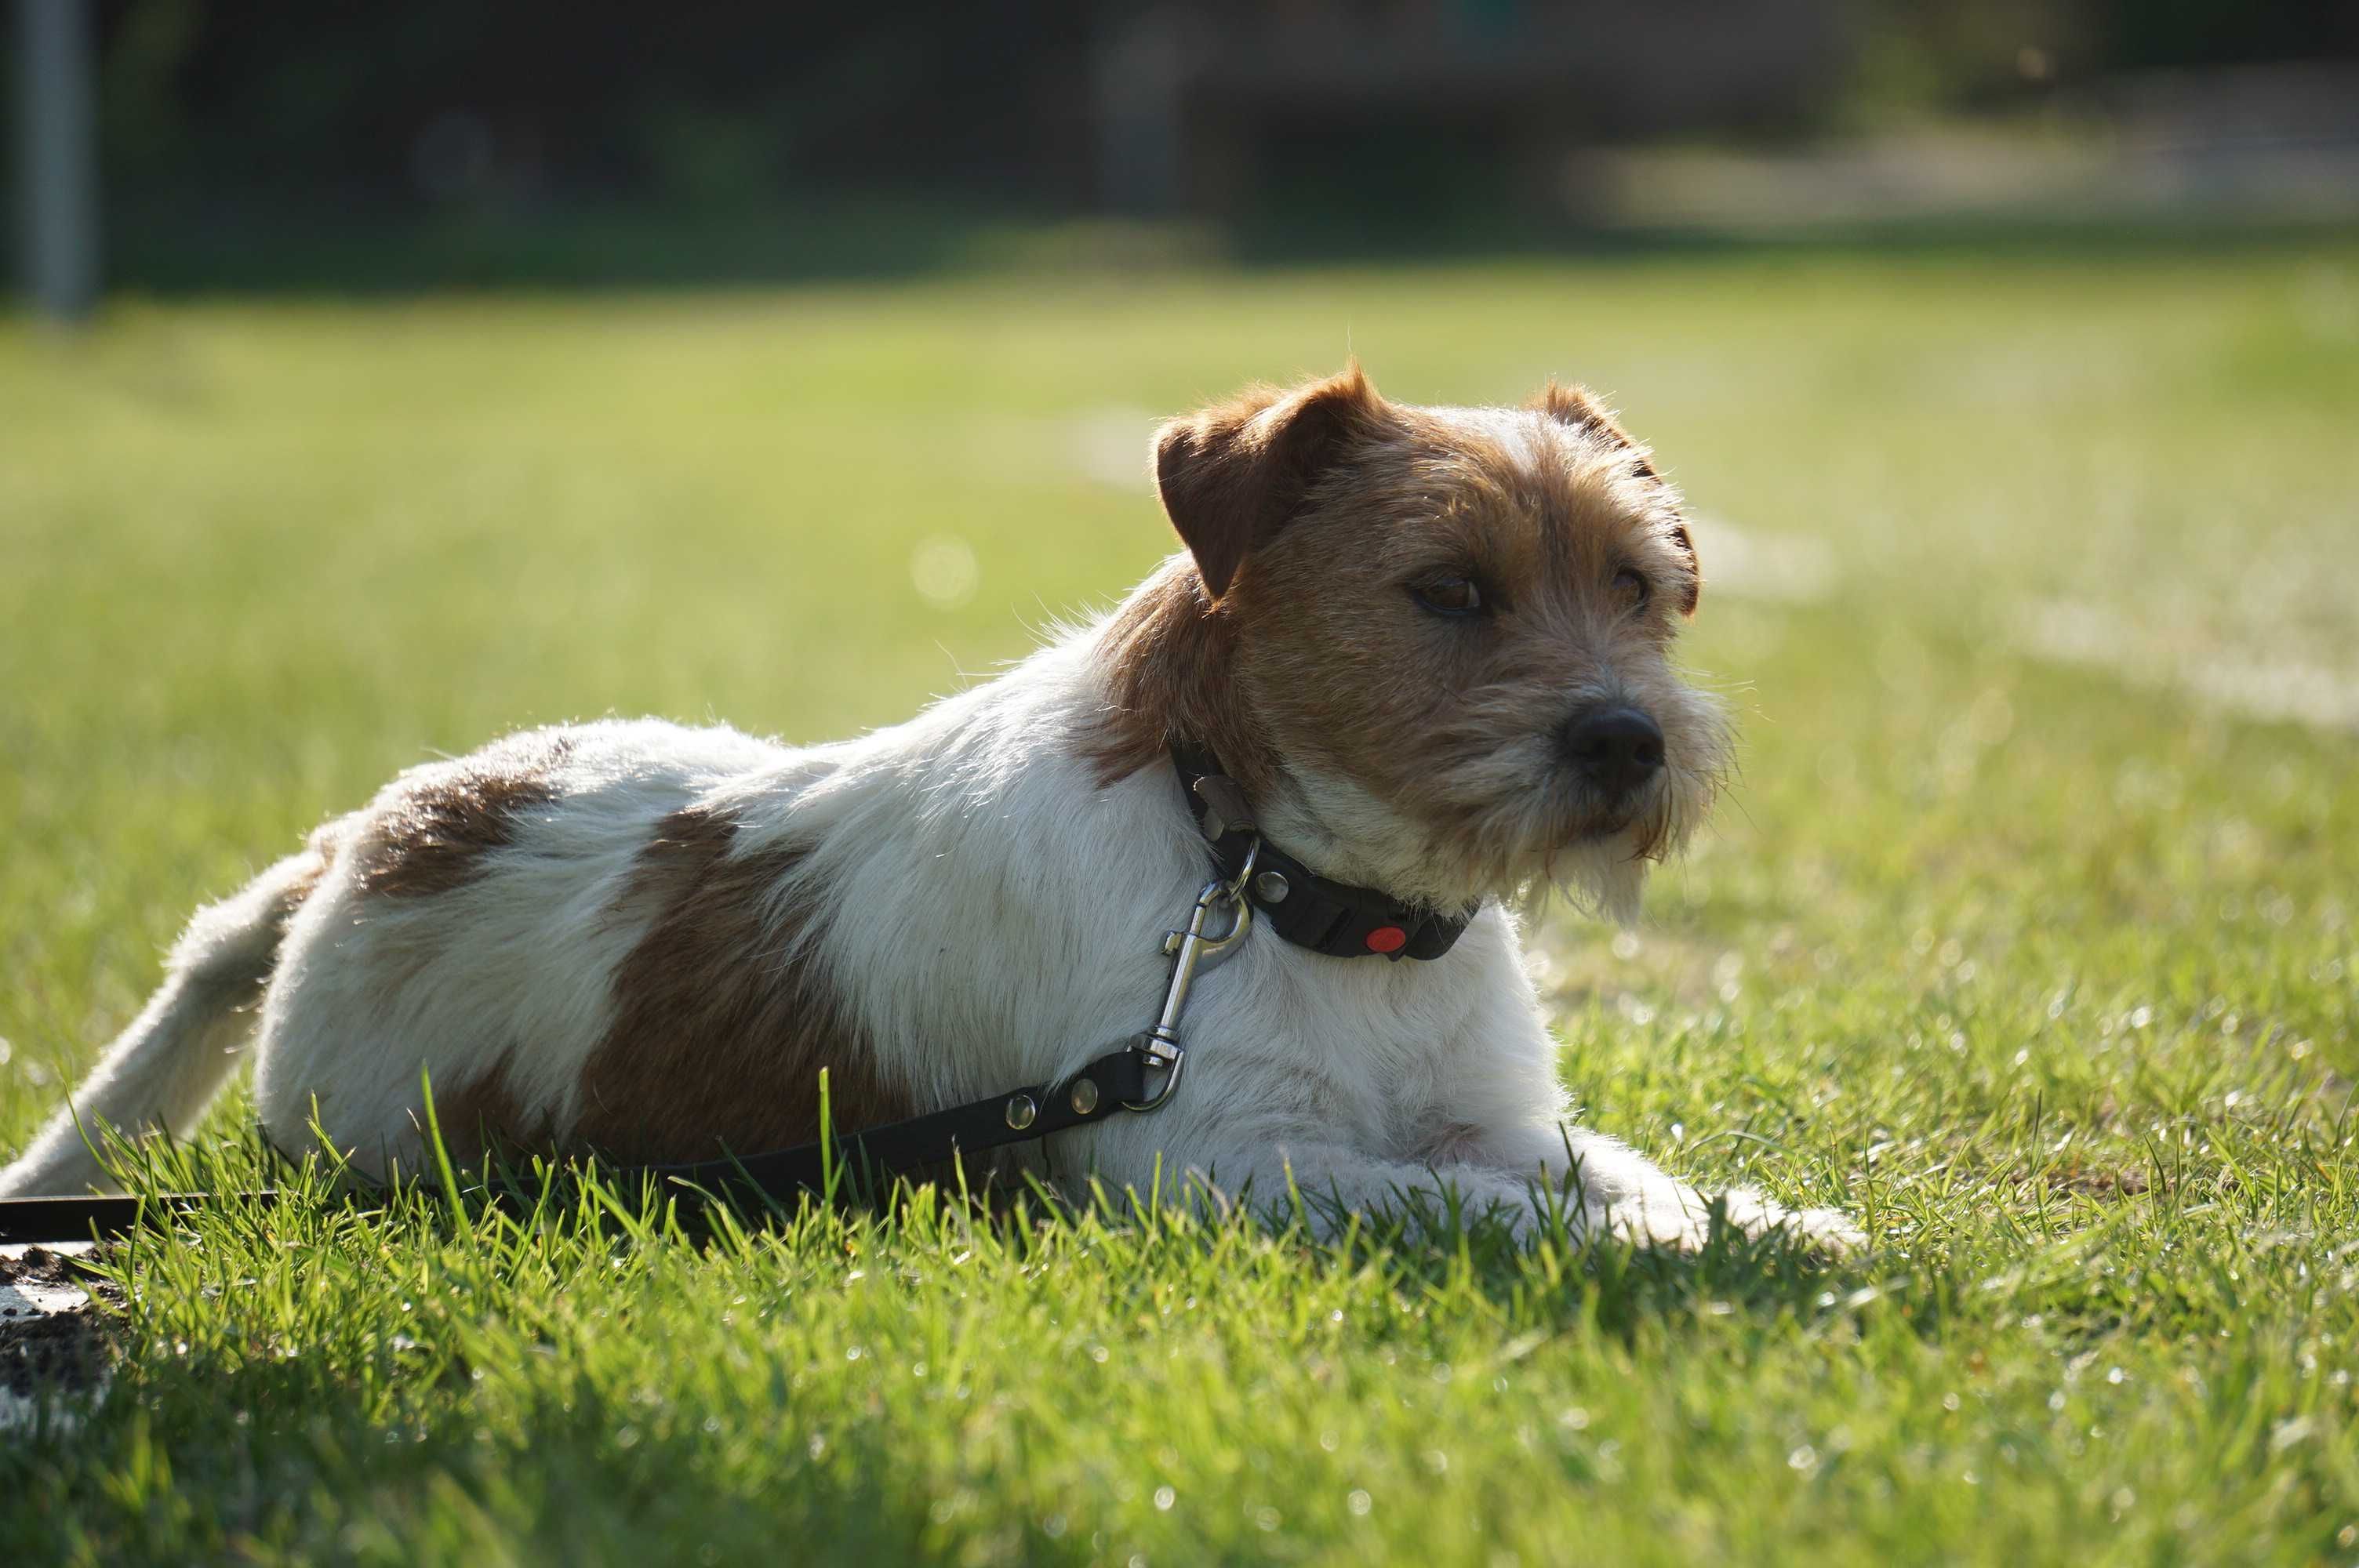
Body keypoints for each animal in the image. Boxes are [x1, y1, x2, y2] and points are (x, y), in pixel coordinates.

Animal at [4, 363, 1859, 1244]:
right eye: (1450, 593)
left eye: (1635, 585)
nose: (1626, 740)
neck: (1267, 875)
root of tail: (368, 840)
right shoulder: (1208, 1164)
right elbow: (1493, 1211)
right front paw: (1677, 1254)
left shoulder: (1480, 1109)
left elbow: (1612, 1168)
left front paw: (1763, 1220)